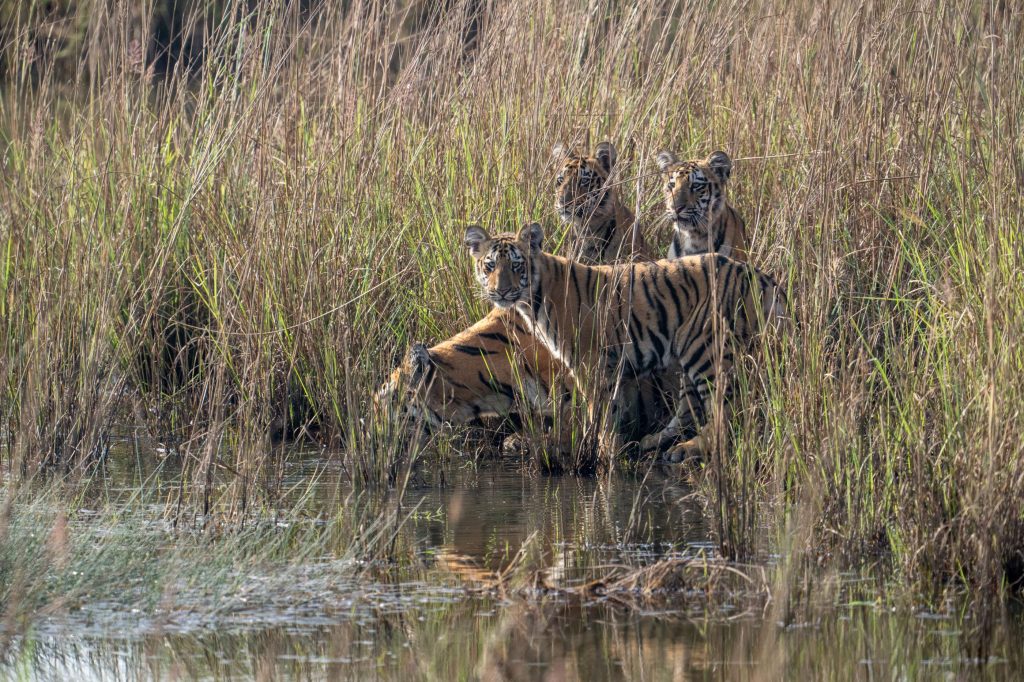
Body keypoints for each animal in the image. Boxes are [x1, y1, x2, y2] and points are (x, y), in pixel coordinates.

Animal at [462, 223, 782, 462]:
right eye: (489, 266)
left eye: (517, 265)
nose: (501, 292)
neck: (532, 300)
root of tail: (760, 275)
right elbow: (611, 408)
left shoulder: (589, 362)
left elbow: (598, 412)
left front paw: (600, 450)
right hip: (691, 351)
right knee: (689, 407)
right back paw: (659, 442)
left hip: (706, 349)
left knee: (725, 410)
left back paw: (690, 448)